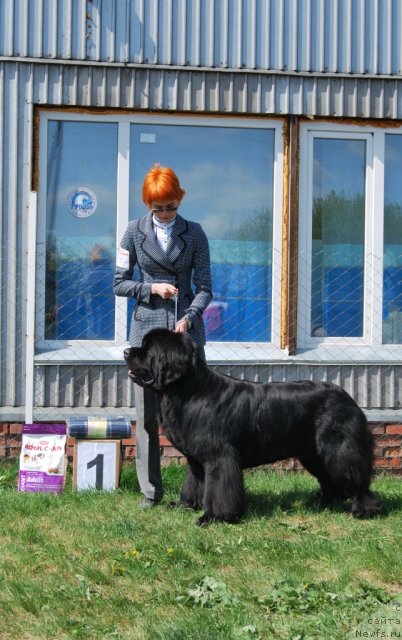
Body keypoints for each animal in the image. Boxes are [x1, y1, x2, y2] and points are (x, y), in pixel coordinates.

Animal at [124, 330, 382, 524]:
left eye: (147, 349)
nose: (126, 351)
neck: (189, 390)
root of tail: (347, 397)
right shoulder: (197, 459)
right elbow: (194, 483)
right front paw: (185, 505)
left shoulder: (220, 456)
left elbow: (217, 488)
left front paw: (214, 517)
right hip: (313, 454)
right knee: (330, 479)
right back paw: (322, 503)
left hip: (337, 449)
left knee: (355, 478)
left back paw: (364, 510)